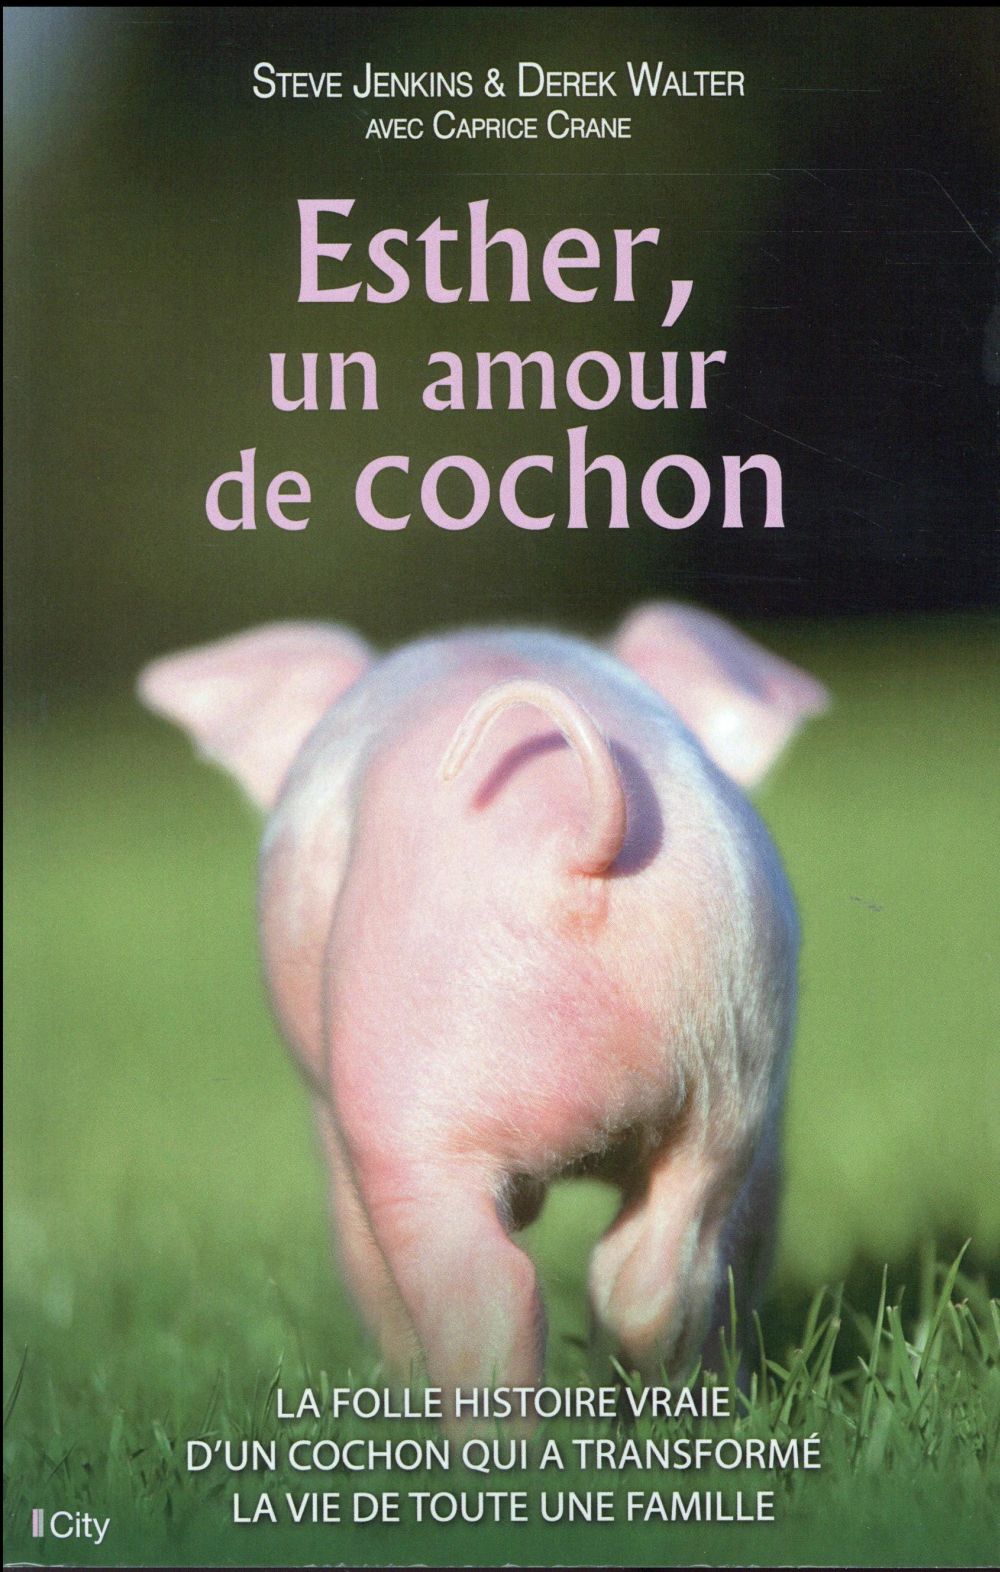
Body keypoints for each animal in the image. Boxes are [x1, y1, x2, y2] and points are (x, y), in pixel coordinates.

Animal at [137, 604, 828, 1402]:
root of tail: (578, 837)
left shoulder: (329, 1112)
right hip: (733, 1067)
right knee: (660, 1274)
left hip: (409, 1102)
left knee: (485, 1289)